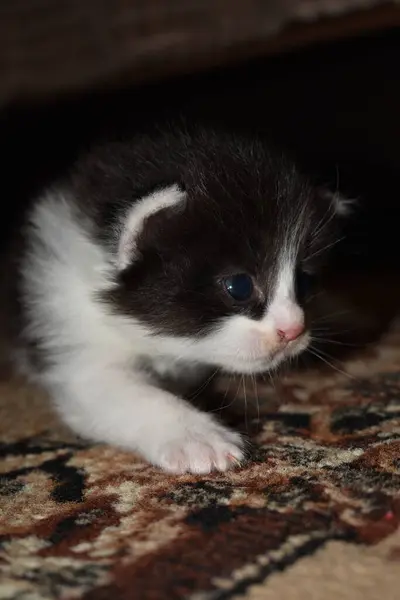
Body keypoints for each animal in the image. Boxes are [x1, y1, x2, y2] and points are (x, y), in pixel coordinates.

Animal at [0, 119, 346, 472]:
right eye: (239, 286)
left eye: (304, 282)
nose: (293, 330)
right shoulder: (68, 321)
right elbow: (114, 390)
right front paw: (197, 437)